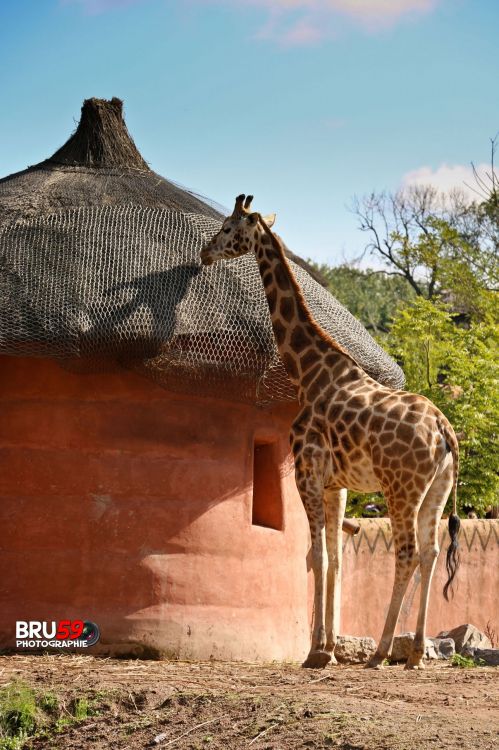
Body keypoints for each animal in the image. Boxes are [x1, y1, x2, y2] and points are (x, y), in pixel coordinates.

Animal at [200, 197, 460, 672]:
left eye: (228, 227)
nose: (205, 252)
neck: (308, 371)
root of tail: (444, 431)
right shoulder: (337, 483)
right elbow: (336, 557)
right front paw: (331, 647)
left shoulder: (307, 471)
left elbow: (317, 554)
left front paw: (315, 651)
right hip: (435, 490)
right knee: (431, 552)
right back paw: (415, 652)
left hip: (400, 488)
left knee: (408, 552)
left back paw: (381, 651)